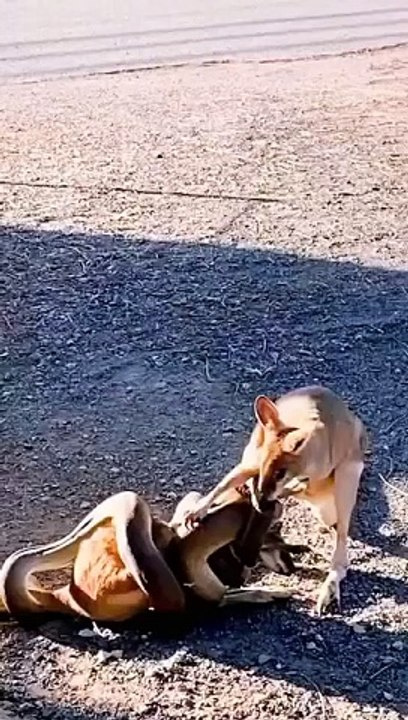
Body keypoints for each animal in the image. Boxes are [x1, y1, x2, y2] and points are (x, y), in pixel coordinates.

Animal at [0, 489, 294, 623]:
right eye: (276, 532)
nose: (290, 565)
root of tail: (71, 595)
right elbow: (218, 592)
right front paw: (265, 590)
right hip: (131, 507)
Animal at [181, 385, 368, 614]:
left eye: (280, 472)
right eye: (264, 467)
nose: (261, 503)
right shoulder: (254, 462)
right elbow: (225, 484)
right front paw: (197, 511)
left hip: (347, 475)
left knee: (340, 543)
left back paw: (327, 591)